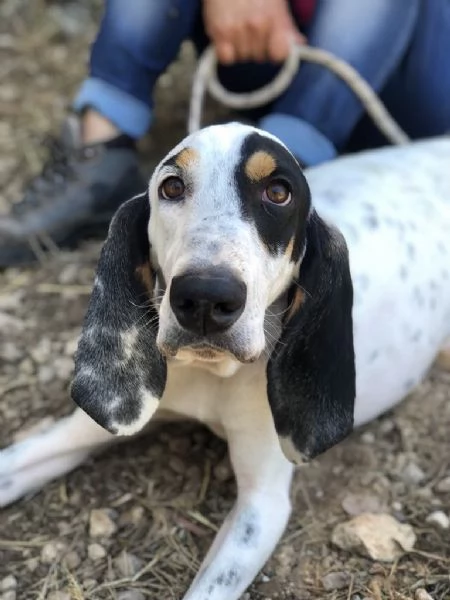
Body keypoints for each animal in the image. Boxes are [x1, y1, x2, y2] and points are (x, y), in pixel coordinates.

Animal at [0, 123, 450, 600]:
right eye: (172, 186)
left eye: (279, 192)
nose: (204, 297)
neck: (210, 374)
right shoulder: (83, 429)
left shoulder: (262, 505)